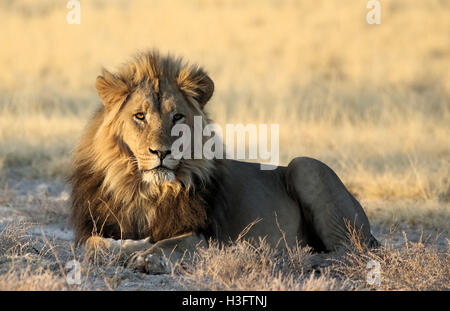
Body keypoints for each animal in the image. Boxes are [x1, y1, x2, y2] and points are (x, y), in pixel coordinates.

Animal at [69, 50, 380, 274]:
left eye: (177, 117)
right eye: (140, 116)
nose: (161, 152)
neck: (145, 190)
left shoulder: (205, 237)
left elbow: (171, 244)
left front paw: (147, 258)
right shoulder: (95, 228)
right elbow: (95, 245)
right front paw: (130, 247)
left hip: (305, 166)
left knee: (352, 250)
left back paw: (304, 260)